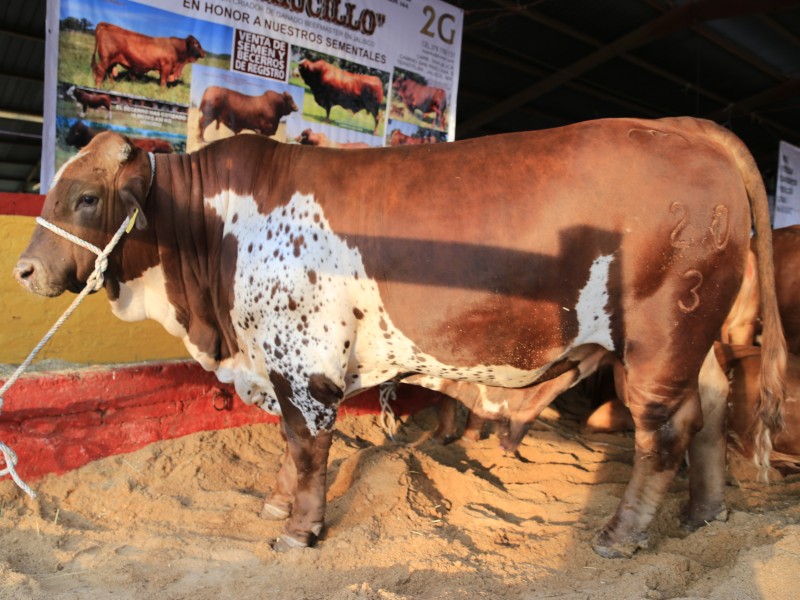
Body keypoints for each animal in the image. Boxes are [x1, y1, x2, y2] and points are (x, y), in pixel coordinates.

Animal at [14, 117, 788, 556]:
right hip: (698, 340)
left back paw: (620, 537)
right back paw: (705, 514)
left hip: (659, 339)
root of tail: (685, 131)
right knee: (711, 409)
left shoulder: (303, 365)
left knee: (665, 430)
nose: (24, 270)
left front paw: (298, 529)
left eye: (87, 197)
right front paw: (276, 501)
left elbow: (306, 448)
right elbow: (287, 450)